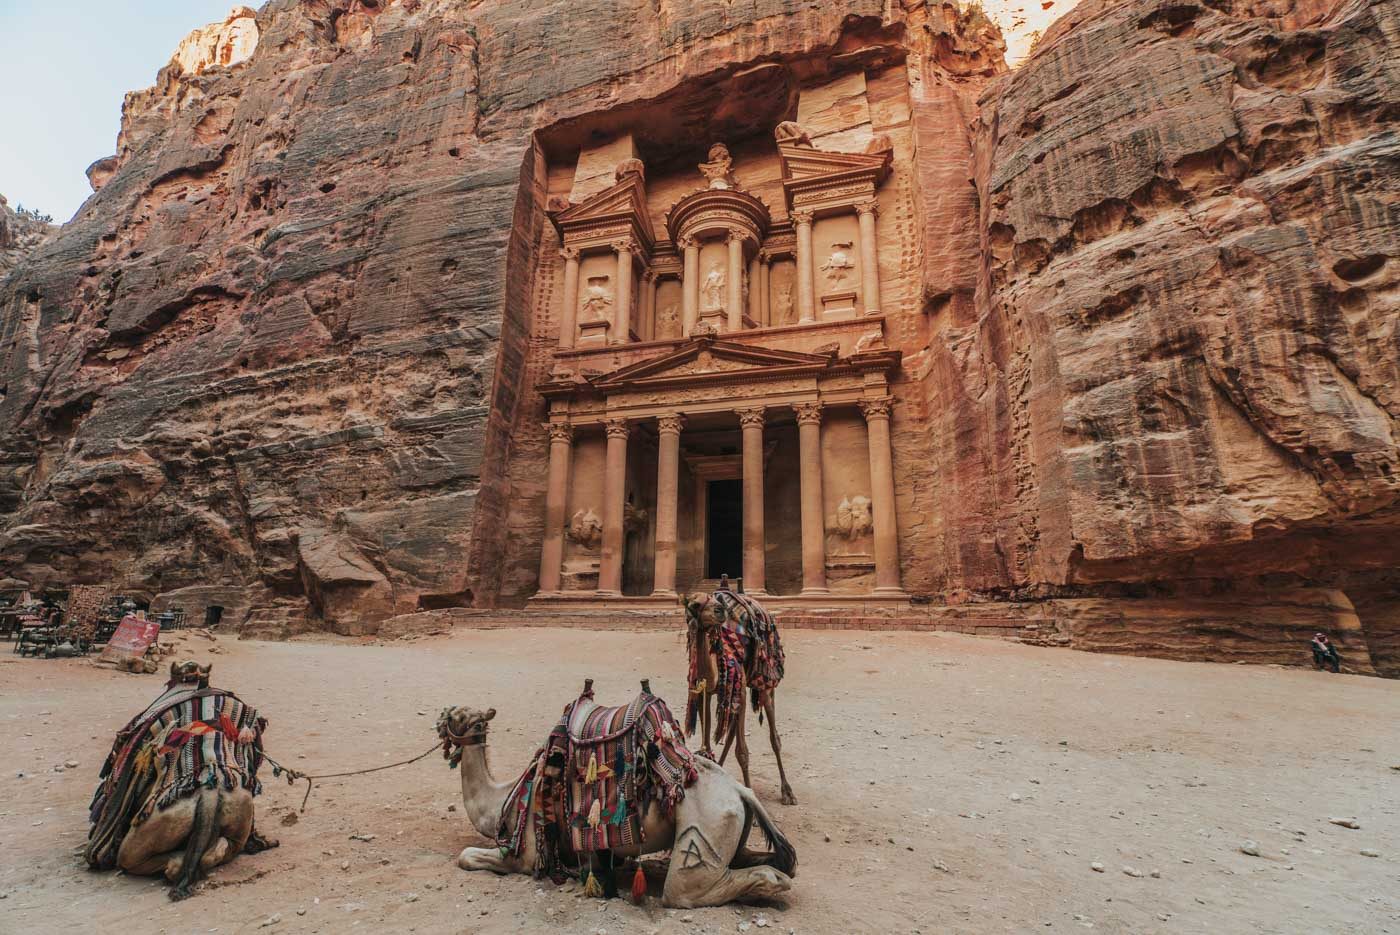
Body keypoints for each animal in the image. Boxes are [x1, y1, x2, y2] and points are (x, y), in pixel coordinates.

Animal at [436, 680, 795, 907]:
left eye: (459, 715)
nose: (442, 715)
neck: (503, 800)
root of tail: (739, 790)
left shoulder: (526, 854)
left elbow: (466, 856)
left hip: (704, 833)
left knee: (688, 890)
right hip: (732, 826)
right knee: (763, 860)